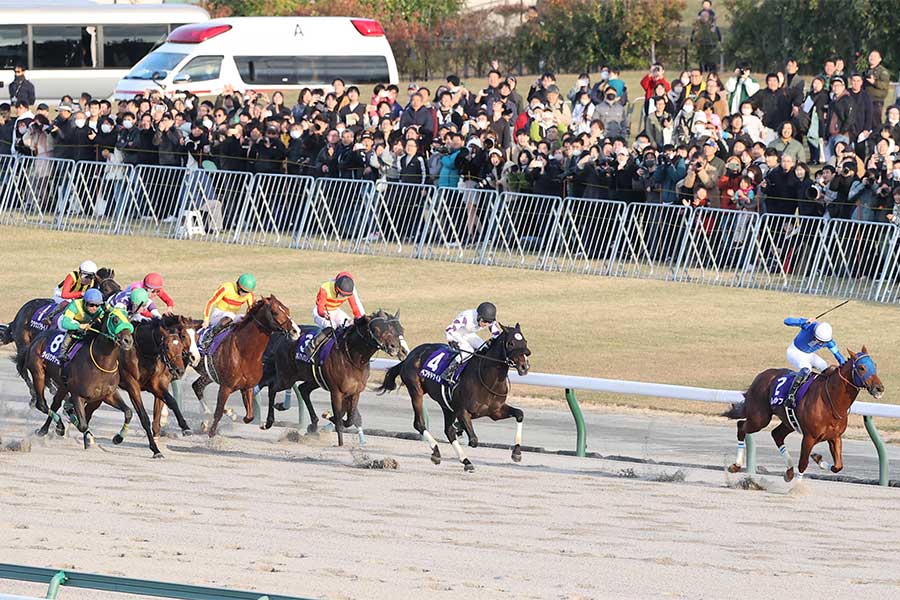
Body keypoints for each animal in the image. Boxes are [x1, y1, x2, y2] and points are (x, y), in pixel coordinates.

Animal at [192, 298, 298, 438]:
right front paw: (212, 431)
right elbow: (218, 412)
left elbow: (249, 416)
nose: (296, 331)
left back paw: (208, 418)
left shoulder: (248, 386)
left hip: (208, 375)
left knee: (197, 386)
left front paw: (232, 414)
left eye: (287, 309)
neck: (244, 353)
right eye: (275, 312)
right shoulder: (226, 386)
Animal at [256, 310, 404, 446]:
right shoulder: (336, 391)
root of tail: (283, 337)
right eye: (377, 329)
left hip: (313, 379)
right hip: (286, 377)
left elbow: (349, 419)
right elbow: (339, 418)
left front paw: (328, 416)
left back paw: (313, 425)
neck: (353, 358)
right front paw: (340, 443)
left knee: (303, 389)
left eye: (398, 329)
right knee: (272, 388)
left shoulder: (355, 392)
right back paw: (269, 421)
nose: (395, 347)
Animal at [376, 326, 532, 472]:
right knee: (419, 424)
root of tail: (411, 355)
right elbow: (473, 440)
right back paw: (438, 452)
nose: (524, 366)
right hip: (416, 391)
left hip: (445, 403)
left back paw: (464, 460)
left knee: (448, 431)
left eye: (524, 341)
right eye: (511, 343)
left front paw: (517, 453)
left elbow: (520, 414)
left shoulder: (495, 411)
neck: (488, 379)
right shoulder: (462, 410)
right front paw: (461, 429)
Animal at [728, 344, 884, 480]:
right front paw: (796, 488)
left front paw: (818, 459)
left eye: (875, 365)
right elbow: (803, 464)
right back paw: (736, 465)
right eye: (862, 367)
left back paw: (789, 471)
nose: (879, 388)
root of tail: (761, 375)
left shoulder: (835, 437)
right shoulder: (809, 437)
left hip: (788, 422)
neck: (831, 401)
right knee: (741, 426)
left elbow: (838, 466)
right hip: (759, 418)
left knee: (776, 434)